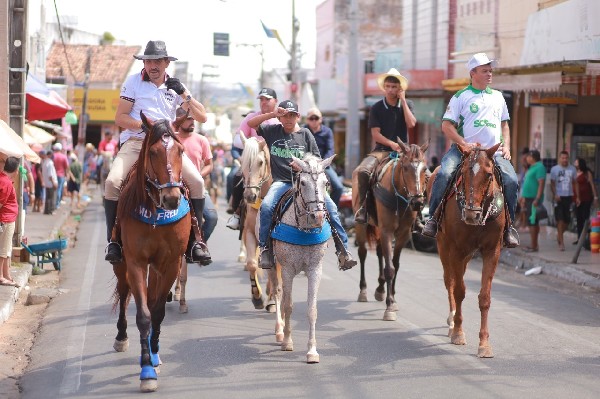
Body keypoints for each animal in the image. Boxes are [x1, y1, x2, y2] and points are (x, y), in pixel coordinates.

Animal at [110, 111, 190, 392]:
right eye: (153, 152)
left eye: (181, 150)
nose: (172, 199)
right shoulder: (135, 262)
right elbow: (144, 314)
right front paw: (146, 372)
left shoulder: (172, 263)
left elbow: (157, 311)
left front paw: (153, 355)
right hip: (121, 264)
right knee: (124, 294)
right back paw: (121, 337)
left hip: (157, 267)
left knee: (154, 296)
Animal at [354, 139, 428, 320]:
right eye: (405, 167)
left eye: (424, 169)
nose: (417, 202)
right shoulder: (387, 231)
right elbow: (390, 269)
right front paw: (389, 308)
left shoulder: (403, 234)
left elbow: (395, 264)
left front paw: (392, 299)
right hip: (362, 225)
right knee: (363, 253)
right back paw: (363, 291)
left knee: (380, 252)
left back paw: (380, 289)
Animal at [426, 143, 506, 360]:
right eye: (462, 173)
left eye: (489, 174)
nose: (471, 214)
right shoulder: (456, 248)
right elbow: (459, 291)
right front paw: (458, 333)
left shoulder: (492, 251)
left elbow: (485, 297)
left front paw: (484, 344)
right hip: (444, 246)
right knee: (450, 281)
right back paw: (452, 321)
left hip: (468, 254)